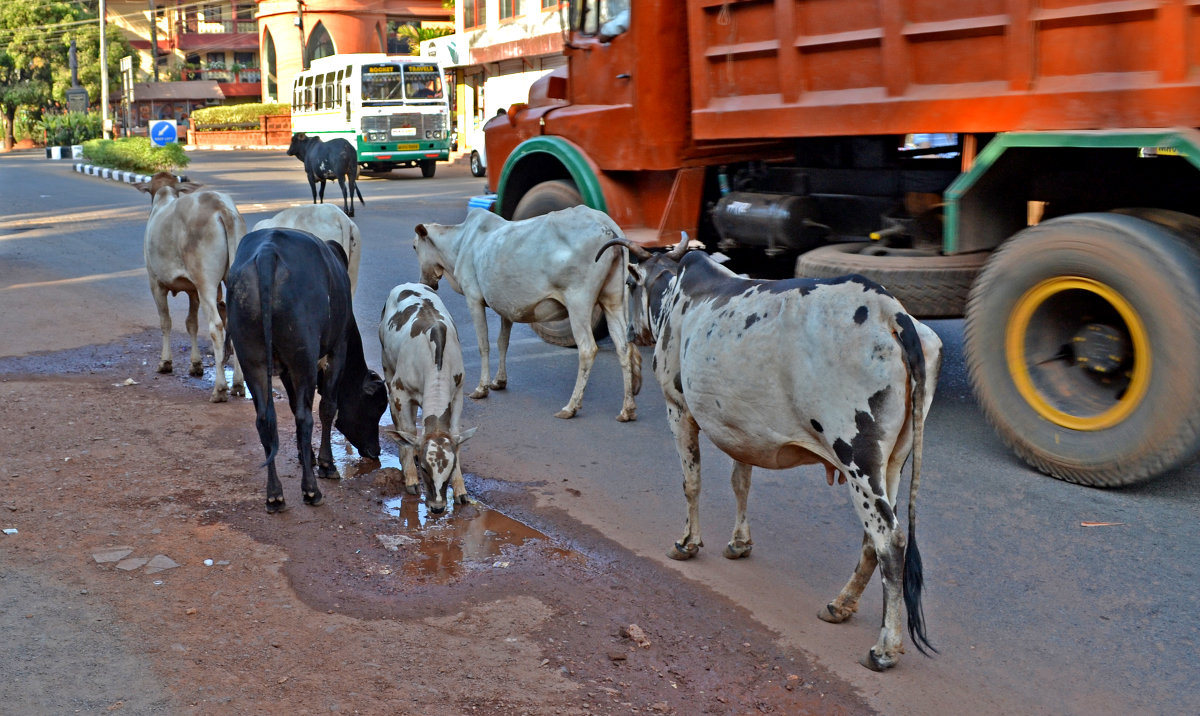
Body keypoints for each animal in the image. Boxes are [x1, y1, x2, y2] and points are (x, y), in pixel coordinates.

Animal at [135, 170, 246, 398]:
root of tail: (220, 207)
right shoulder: (192, 290)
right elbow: (191, 323)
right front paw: (196, 365)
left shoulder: (156, 283)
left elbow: (166, 322)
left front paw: (165, 362)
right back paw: (238, 384)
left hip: (206, 284)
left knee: (216, 326)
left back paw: (220, 389)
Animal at [226, 226, 386, 510]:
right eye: (377, 406)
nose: (375, 451)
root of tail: (267, 253)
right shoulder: (338, 347)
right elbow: (328, 407)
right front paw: (325, 463)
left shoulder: (286, 369)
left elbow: (292, 406)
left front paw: (306, 455)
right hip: (303, 359)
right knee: (305, 416)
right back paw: (311, 490)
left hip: (252, 359)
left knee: (265, 419)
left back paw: (275, 495)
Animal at [381, 281, 480, 510]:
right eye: (425, 469)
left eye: (451, 467)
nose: (437, 507)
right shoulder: (400, 390)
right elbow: (407, 430)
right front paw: (410, 478)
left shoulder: (458, 392)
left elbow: (454, 432)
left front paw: (461, 490)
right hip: (387, 366)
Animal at [410, 203, 638, 422]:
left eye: (414, 246)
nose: (425, 282)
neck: (460, 242)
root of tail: (606, 225)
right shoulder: (506, 306)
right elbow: (502, 342)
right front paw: (499, 381)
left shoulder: (473, 299)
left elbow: (484, 345)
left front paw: (482, 387)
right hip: (613, 301)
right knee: (624, 347)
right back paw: (627, 409)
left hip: (578, 302)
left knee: (587, 349)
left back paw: (571, 407)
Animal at [609, 238, 945, 671]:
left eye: (630, 285)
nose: (632, 332)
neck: (677, 294)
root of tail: (893, 312)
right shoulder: (739, 427)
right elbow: (740, 482)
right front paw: (739, 543)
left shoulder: (678, 407)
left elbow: (691, 481)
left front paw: (687, 543)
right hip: (893, 462)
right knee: (874, 537)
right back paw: (840, 605)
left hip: (857, 455)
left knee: (891, 539)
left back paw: (885, 647)